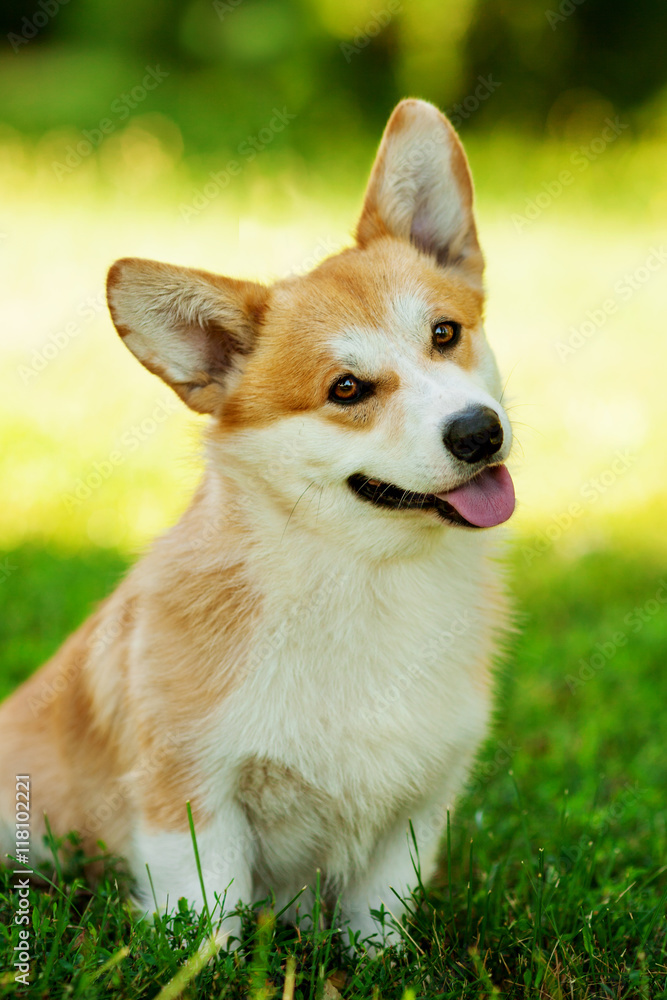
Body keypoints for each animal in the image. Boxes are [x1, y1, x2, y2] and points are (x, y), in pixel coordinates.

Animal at [0, 99, 516, 944]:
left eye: (444, 333)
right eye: (345, 389)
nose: (479, 433)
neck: (363, 575)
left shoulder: (416, 805)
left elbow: (379, 924)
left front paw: (378, 963)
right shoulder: (191, 796)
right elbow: (209, 920)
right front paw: (202, 961)